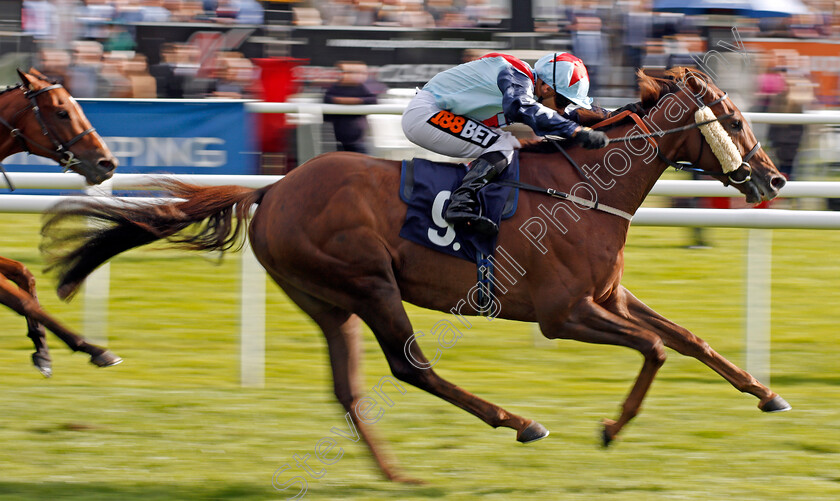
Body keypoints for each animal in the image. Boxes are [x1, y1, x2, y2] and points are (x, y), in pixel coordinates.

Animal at [0, 69, 121, 376]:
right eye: (62, 112)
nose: (107, 163)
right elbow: (23, 301)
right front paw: (95, 349)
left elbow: (24, 275)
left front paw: (42, 349)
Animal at [46, 70, 792, 480]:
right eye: (732, 119)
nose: (774, 178)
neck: (585, 186)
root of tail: (272, 188)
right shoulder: (564, 314)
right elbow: (657, 347)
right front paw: (612, 428)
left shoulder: (607, 294)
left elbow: (690, 337)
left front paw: (767, 394)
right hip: (369, 282)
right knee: (411, 366)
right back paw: (518, 422)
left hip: (328, 300)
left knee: (349, 388)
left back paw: (395, 472)